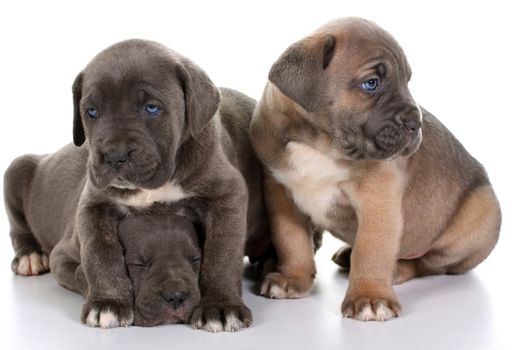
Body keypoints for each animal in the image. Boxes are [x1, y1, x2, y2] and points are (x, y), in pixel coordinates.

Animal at [2, 39, 268, 332]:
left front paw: (220, 306)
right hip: (16, 169)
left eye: (152, 108)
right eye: (91, 112)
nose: (114, 155)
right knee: (18, 226)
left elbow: (222, 251)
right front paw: (108, 303)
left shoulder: (226, 195)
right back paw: (30, 256)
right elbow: (100, 251)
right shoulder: (95, 204)